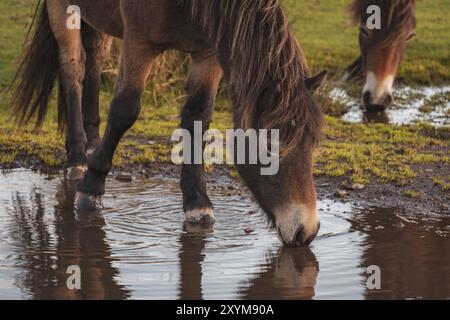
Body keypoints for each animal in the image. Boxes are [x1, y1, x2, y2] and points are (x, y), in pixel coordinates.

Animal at [10, 0, 326, 246]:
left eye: (312, 142)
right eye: (270, 147)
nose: (306, 231)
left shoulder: (208, 54)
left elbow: (198, 118)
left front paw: (197, 202)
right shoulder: (139, 43)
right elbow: (124, 111)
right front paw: (91, 188)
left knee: (95, 58)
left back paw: (92, 141)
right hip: (63, 9)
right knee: (73, 69)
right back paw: (77, 157)